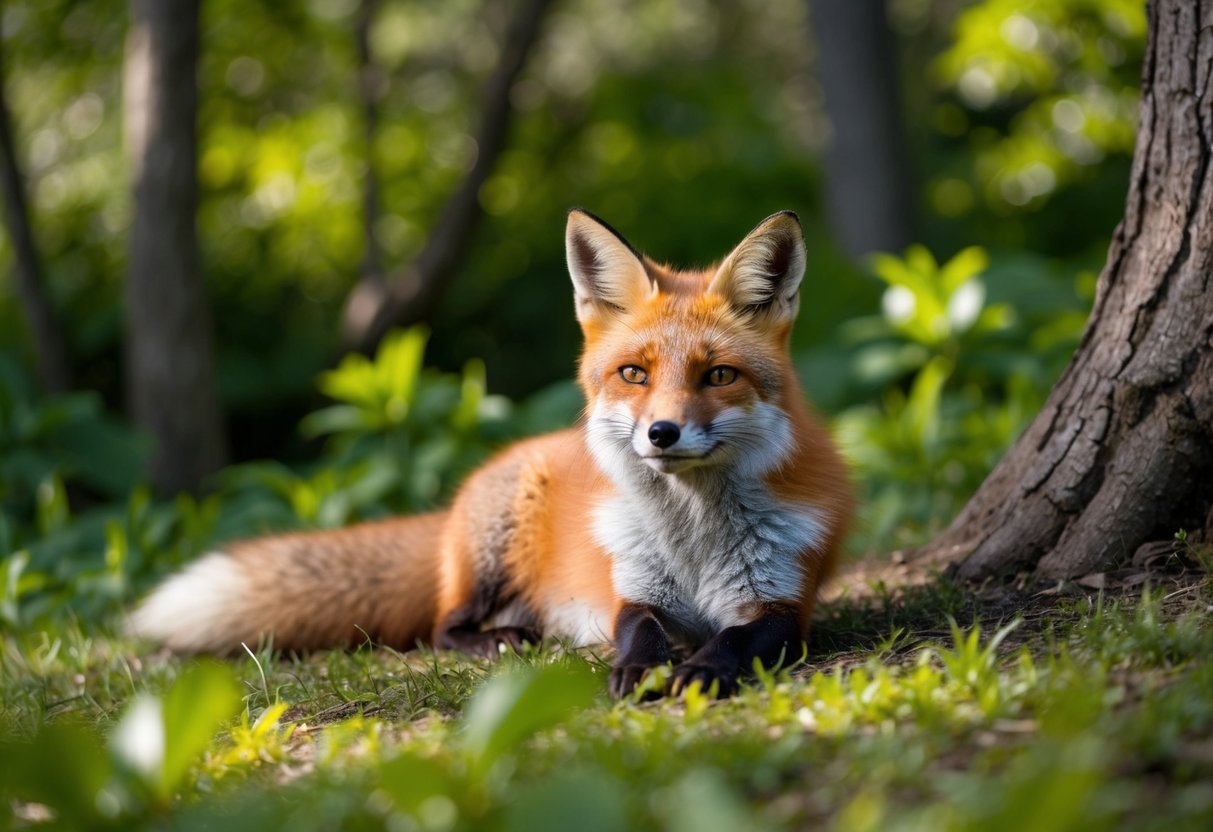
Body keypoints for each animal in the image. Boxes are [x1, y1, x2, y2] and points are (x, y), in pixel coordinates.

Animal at [129, 209, 853, 698]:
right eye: (634, 374)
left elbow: (737, 639)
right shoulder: (632, 591)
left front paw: (701, 669)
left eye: (719, 376)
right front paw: (638, 669)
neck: (693, 540)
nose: (662, 433)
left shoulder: (783, 605)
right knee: (442, 626)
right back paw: (504, 640)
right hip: (491, 556)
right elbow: (639, 631)